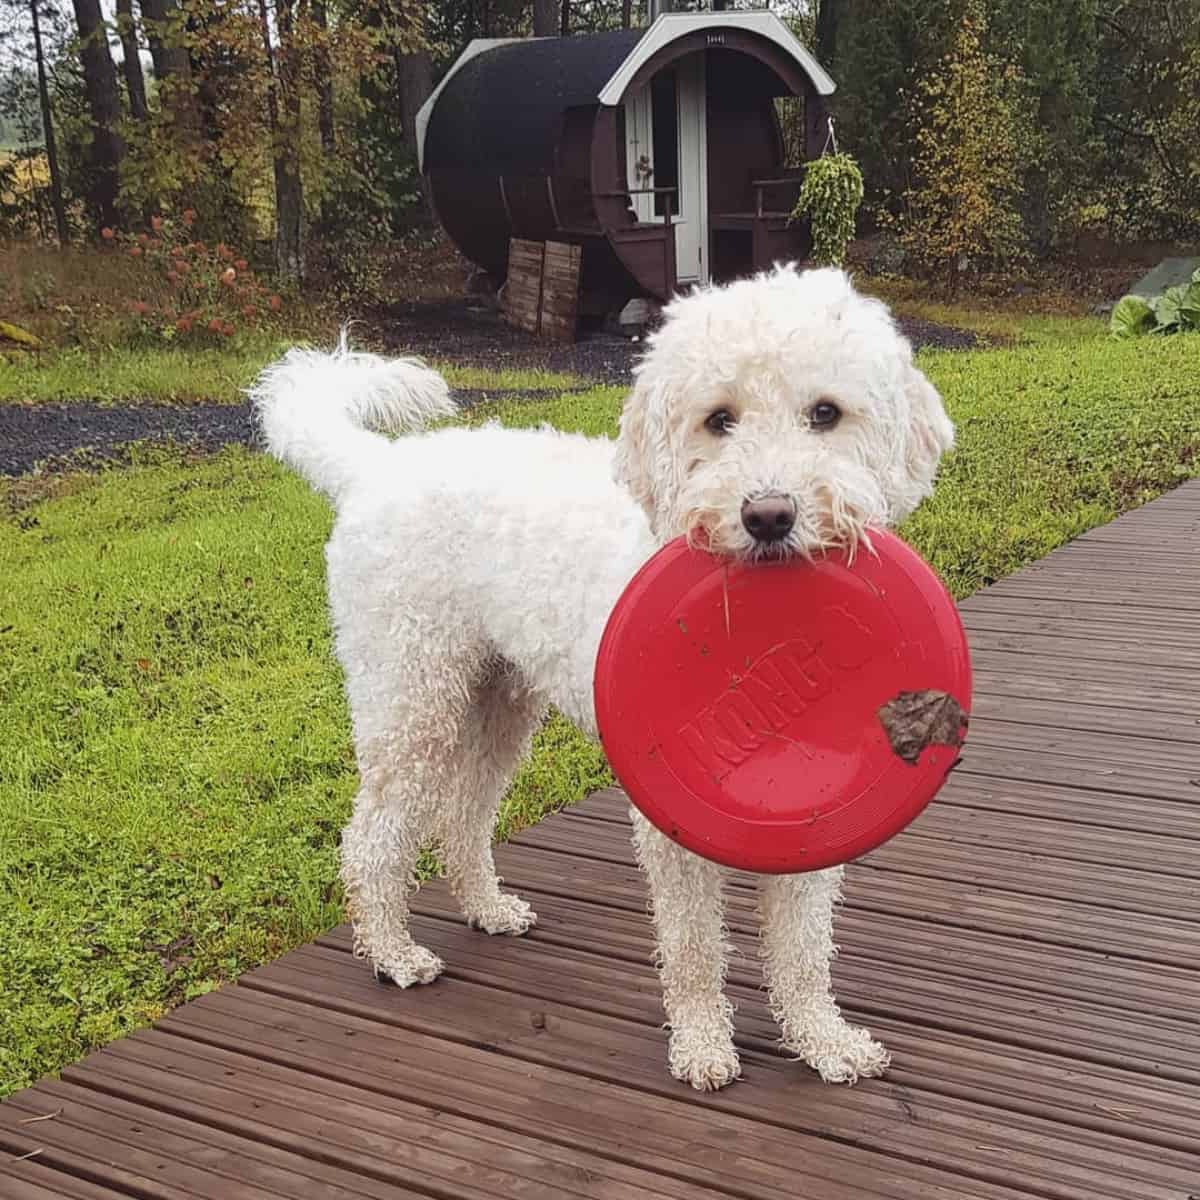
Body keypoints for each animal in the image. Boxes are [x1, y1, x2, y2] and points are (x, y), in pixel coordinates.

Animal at [253, 267, 955, 1094]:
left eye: (826, 413)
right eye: (719, 419)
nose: (769, 515)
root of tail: (376, 466)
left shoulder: (812, 813)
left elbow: (805, 946)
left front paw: (825, 1040)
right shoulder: (672, 818)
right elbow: (691, 945)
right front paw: (702, 1046)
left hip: (497, 701)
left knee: (463, 815)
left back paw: (488, 907)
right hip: (412, 690)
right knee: (373, 835)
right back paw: (393, 953)